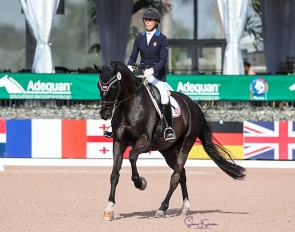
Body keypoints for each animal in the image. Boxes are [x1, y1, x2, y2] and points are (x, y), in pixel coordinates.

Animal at [94, 60, 245, 220]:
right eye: (98, 86)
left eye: (113, 86)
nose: (105, 114)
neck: (129, 105)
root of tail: (193, 105)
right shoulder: (118, 143)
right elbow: (114, 174)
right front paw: (109, 209)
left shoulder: (144, 142)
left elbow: (132, 156)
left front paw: (140, 183)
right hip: (168, 150)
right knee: (182, 173)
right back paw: (185, 207)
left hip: (185, 145)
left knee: (175, 176)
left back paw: (162, 208)